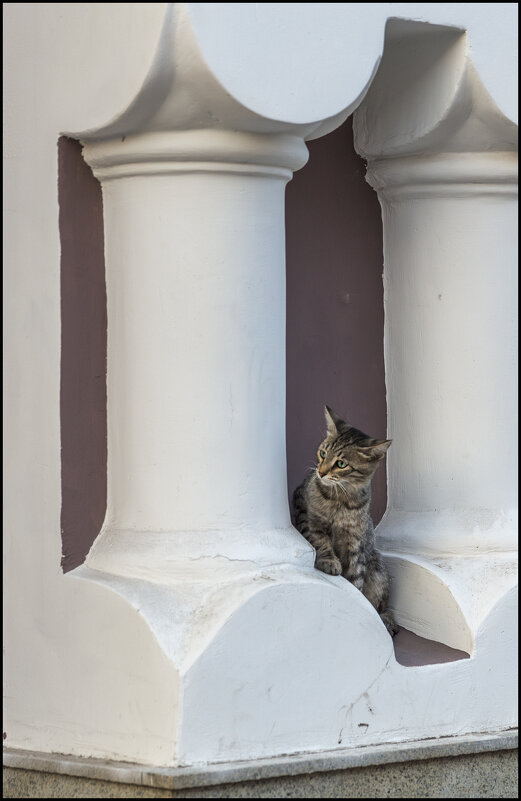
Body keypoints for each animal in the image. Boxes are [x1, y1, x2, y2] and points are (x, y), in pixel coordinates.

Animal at [292, 406, 398, 636]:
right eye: (322, 453)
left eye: (341, 464)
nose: (320, 472)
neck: (340, 499)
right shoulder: (306, 514)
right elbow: (320, 540)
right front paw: (328, 560)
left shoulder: (355, 542)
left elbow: (356, 581)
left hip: (377, 569)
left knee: (380, 608)